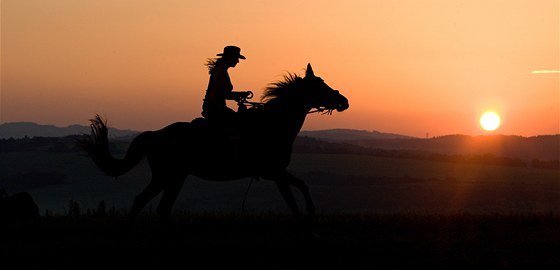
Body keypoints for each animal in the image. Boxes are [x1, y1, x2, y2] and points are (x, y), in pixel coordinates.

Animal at [81, 63, 348, 228]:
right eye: (320, 84)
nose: (343, 100)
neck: (272, 125)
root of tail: (155, 135)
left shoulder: (277, 172)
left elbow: (302, 186)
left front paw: (311, 212)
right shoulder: (275, 173)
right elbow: (292, 201)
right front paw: (306, 218)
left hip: (176, 177)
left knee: (162, 208)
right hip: (166, 176)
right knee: (141, 201)